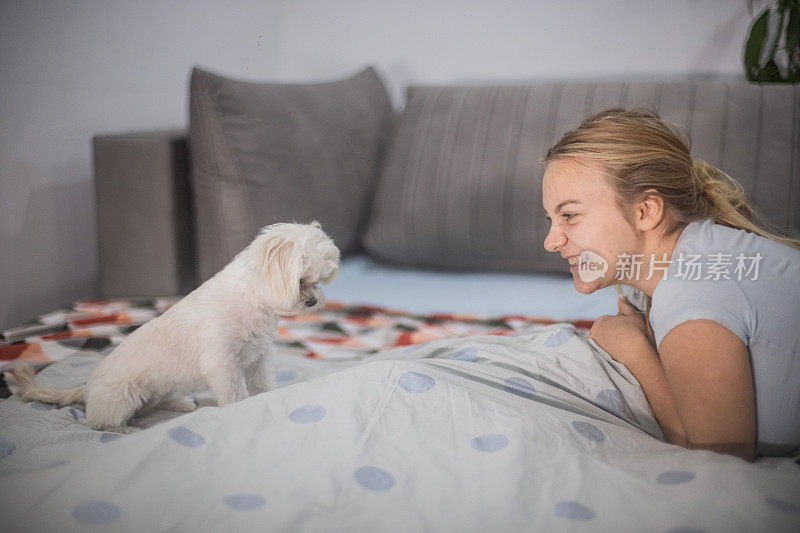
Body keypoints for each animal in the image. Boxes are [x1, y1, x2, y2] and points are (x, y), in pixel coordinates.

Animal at [13, 220, 338, 432]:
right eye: (301, 281)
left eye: (317, 282)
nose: (313, 301)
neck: (252, 301)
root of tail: (87, 388)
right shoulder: (222, 365)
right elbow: (235, 396)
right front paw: (240, 412)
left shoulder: (256, 359)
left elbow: (262, 387)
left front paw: (264, 399)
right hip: (123, 396)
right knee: (99, 422)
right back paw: (124, 430)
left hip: (155, 392)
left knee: (151, 406)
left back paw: (182, 404)